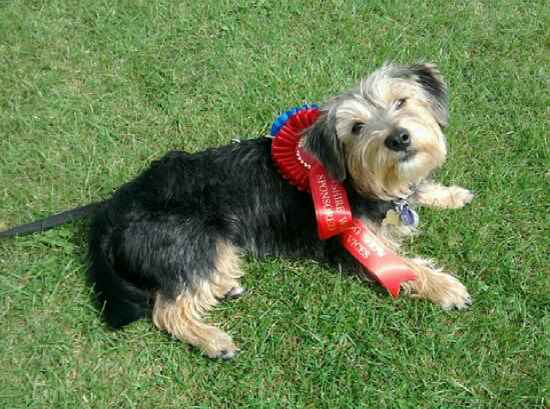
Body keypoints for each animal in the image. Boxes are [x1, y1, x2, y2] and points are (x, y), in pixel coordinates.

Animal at [1, 61, 474, 356]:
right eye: (357, 128)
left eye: (401, 102)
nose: (398, 138)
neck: (353, 178)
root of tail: (111, 210)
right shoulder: (350, 245)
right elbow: (404, 267)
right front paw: (444, 287)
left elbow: (419, 192)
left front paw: (448, 194)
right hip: (196, 238)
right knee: (165, 310)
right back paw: (213, 340)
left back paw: (224, 286)